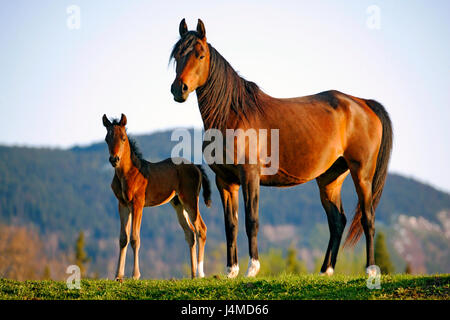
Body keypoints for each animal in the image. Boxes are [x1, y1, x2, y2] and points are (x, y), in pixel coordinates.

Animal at [103, 114, 211, 278]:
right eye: (107, 138)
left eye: (123, 138)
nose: (114, 159)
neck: (127, 173)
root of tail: (197, 167)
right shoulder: (122, 204)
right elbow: (123, 238)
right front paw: (118, 276)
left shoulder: (138, 204)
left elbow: (135, 238)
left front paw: (135, 275)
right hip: (178, 204)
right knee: (190, 234)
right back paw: (192, 275)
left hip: (191, 200)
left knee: (201, 230)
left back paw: (200, 274)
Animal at [169, 18, 390, 278]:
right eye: (177, 55)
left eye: (200, 55)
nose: (179, 89)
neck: (234, 113)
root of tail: (364, 104)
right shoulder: (225, 181)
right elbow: (230, 224)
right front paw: (231, 271)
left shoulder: (250, 176)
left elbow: (251, 220)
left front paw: (252, 269)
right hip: (330, 179)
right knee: (337, 221)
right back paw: (326, 271)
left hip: (362, 174)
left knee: (368, 218)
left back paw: (371, 270)